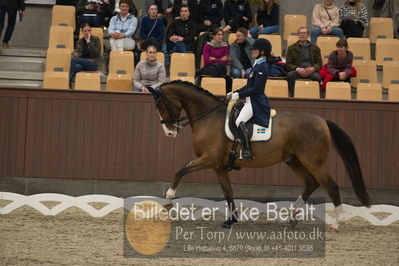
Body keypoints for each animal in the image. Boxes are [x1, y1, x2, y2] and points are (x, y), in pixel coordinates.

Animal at [148, 79, 374, 231]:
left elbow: (180, 170)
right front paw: (231, 220)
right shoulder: (218, 166)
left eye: (161, 105)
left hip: (313, 161)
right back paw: (292, 218)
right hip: (294, 161)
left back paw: (338, 223)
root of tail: (322, 121)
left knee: (331, 185)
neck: (208, 117)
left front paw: (168, 199)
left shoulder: (209, 159)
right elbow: (228, 192)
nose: (169, 132)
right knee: (311, 183)